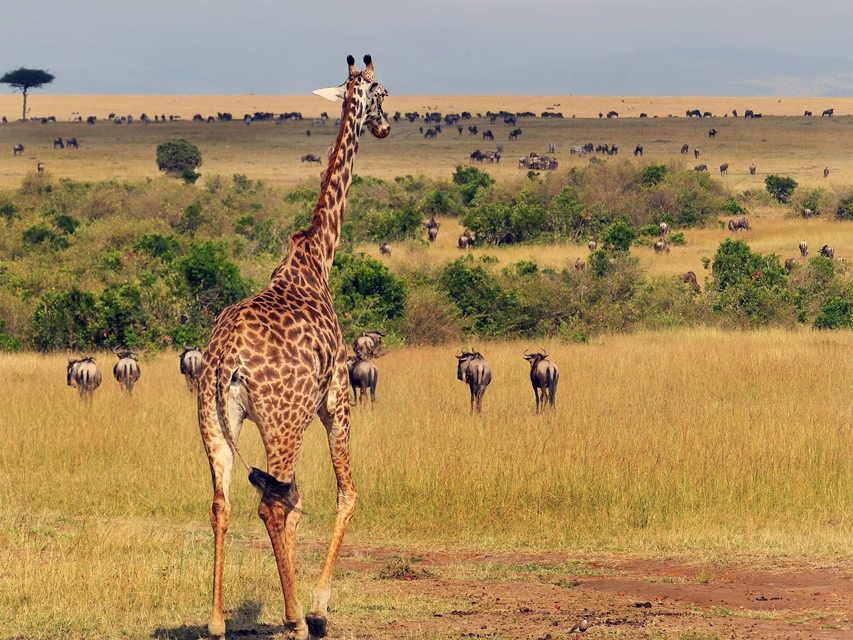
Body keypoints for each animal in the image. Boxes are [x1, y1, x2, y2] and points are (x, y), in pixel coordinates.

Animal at [196, 56, 390, 640]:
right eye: (383, 92)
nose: (384, 126)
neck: (317, 258)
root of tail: (227, 362)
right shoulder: (336, 399)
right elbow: (346, 494)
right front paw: (317, 607)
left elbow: (300, 501)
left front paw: (301, 600)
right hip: (284, 423)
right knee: (270, 505)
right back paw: (296, 621)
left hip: (215, 421)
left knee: (223, 502)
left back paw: (217, 621)